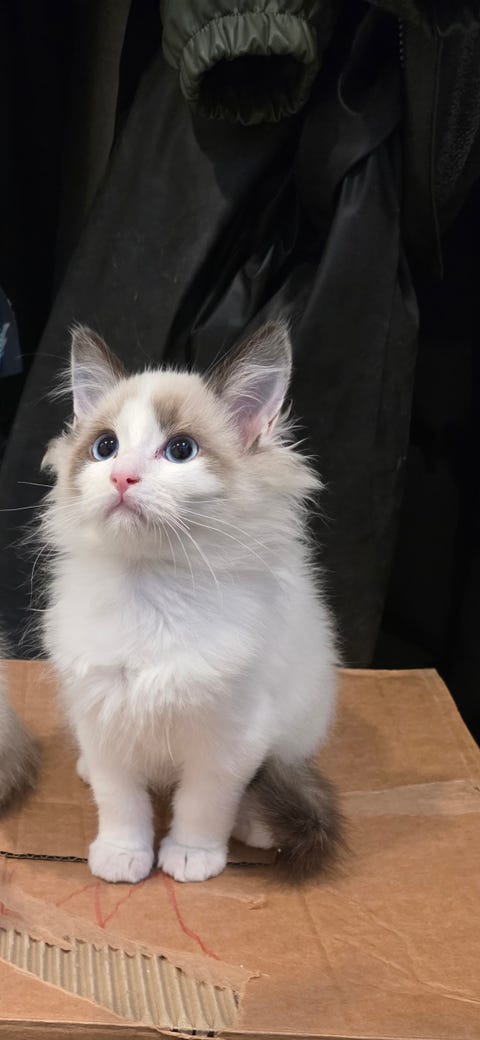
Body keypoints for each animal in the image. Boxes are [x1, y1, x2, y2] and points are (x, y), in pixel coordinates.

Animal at [39, 321, 342, 884]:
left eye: (181, 450)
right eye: (105, 448)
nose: (121, 476)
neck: (152, 586)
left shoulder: (231, 737)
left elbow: (203, 804)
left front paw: (191, 856)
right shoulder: (104, 713)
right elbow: (121, 800)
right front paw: (122, 855)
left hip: (296, 726)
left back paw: (256, 825)